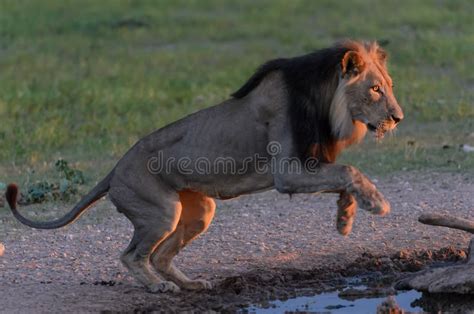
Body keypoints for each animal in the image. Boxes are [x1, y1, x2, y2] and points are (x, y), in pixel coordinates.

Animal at [4, 40, 404, 294]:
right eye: (375, 90)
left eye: (388, 85)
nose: (398, 117)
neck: (327, 103)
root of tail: (114, 170)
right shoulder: (288, 170)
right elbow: (348, 171)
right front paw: (378, 204)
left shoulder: (310, 162)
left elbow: (342, 177)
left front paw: (345, 218)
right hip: (161, 211)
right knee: (131, 255)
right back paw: (159, 287)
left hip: (199, 211)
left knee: (161, 255)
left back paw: (192, 284)